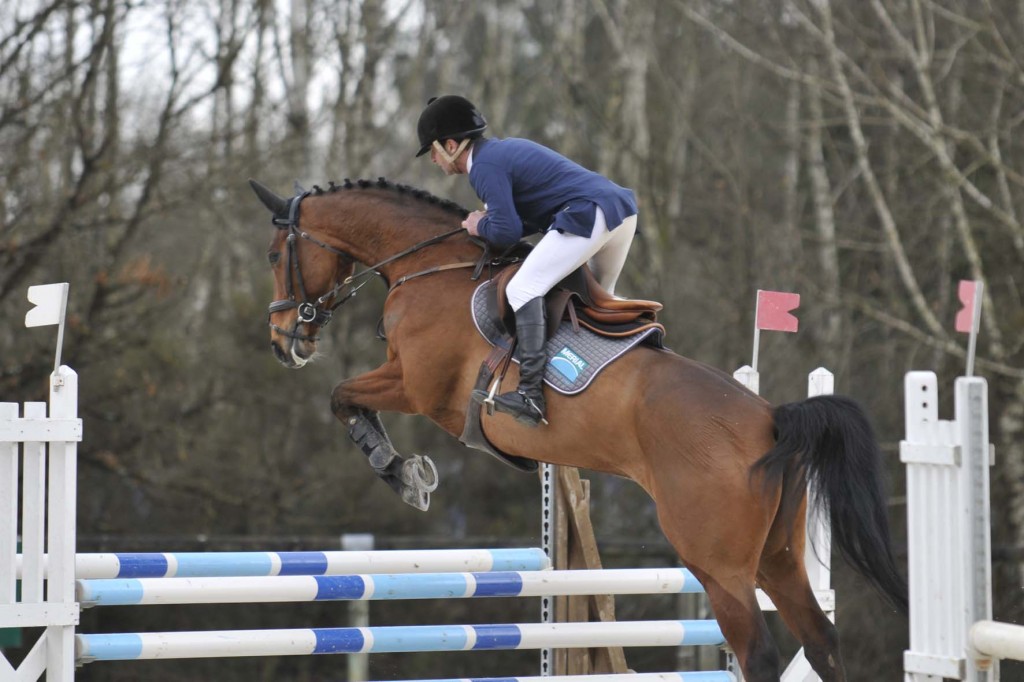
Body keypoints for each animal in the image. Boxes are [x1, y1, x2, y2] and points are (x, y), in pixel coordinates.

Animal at [247, 176, 905, 679]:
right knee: (820, 640)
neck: (429, 266)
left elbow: (342, 397)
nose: (283, 343)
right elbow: (346, 398)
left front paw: (402, 473)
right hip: (779, 555)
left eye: (277, 257)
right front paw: (405, 472)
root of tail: (771, 417)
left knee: (760, 653)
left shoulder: (417, 388)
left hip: (719, 565)